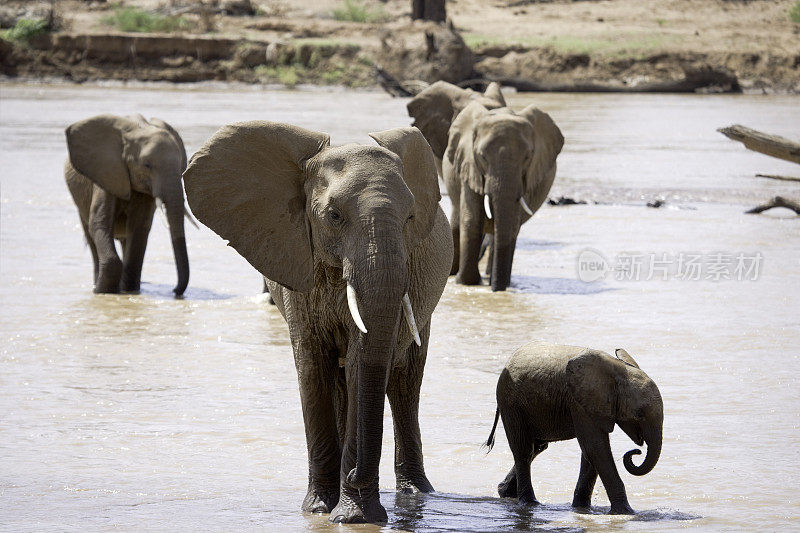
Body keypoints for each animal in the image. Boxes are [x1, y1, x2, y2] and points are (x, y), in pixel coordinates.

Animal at [64, 113, 192, 296]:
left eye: (181, 164)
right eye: (147, 165)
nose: (175, 290)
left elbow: (139, 228)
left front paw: (128, 291)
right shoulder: (107, 173)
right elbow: (100, 223)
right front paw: (104, 292)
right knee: (90, 236)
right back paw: (96, 286)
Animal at [184, 121, 454, 524]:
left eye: (410, 218)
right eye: (334, 216)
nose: (356, 473)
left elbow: (362, 363)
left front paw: (354, 517)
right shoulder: (298, 264)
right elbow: (312, 366)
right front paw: (319, 510)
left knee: (404, 381)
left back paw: (415, 491)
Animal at [484, 340, 664, 512]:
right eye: (639, 414)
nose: (636, 452)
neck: (619, 371)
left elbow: (591, 451)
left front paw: (581, 507)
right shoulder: (579, 402)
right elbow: (595, 447)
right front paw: (626, 512)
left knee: (538, 447)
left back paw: (505, 492)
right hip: (510, 403)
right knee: (524, 450)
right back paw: (530, 502)